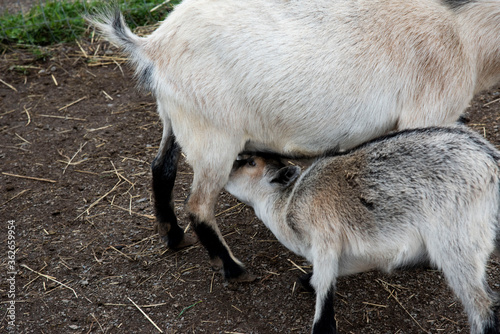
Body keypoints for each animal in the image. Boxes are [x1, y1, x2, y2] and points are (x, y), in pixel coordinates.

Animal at [88, 0, 500, 282]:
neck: (463, 30)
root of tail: (153, 45)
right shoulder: (428, 112)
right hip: (213, 135)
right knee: (199, 206)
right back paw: (233, 269)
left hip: (176, 119)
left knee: (161, 169)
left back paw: (172, 237)